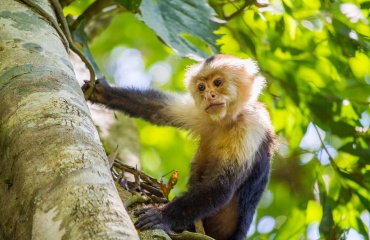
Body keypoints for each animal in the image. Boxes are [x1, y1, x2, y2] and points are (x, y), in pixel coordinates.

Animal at [82, 54, 276, 240]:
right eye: (201, 88)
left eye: (217, 83)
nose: (209, 95)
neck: (225, 121)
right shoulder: (200, 112)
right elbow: (155, 108)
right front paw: (102, 93)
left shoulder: (252, 125)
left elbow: (220, 186)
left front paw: (162, 216)